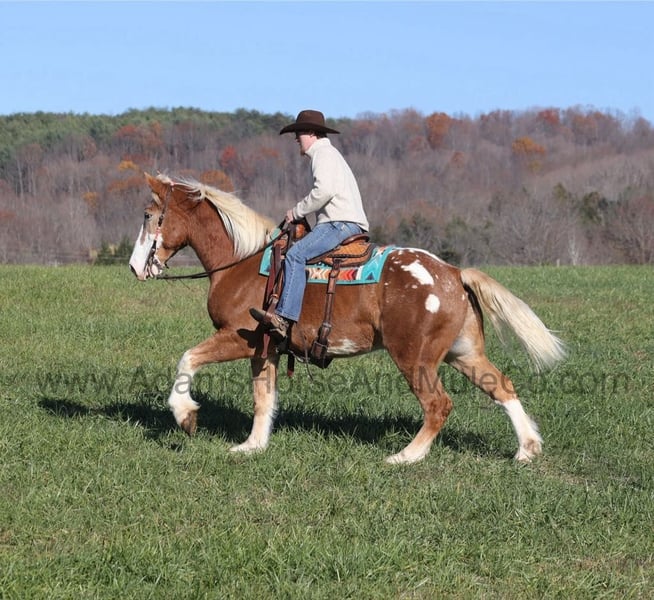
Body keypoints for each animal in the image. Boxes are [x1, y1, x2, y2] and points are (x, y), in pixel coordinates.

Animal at [129, 172, 566, 464]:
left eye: (149, 215)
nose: (135, 267)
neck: (244, 262)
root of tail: (454, 273)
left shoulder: (239, 336)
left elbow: (188, 358)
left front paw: (185, 415)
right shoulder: (265, 348)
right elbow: (263, 397)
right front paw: (252, 446)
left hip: (415, 358)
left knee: (438, 404)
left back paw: (405, 456)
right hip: (463, 353)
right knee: (501, 387)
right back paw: (527, 449)